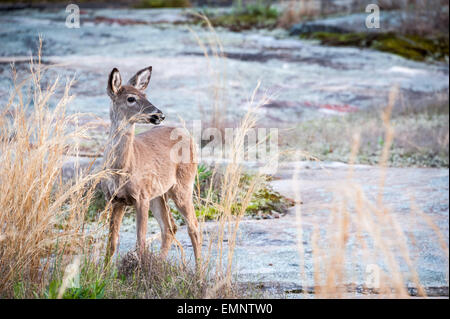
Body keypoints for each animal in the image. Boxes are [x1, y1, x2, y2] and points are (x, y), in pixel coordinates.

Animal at [102, 66, 200, 266]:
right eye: (131, 98)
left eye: (145, 94)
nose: (159, 114)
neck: (122, 169)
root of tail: (188, 135)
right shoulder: (115, 200)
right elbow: (112, 244)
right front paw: (103, 272)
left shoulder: (141, 197)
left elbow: (140, 241)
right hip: (160, 194)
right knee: (169, 227)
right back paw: (161, 263)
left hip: (183, 186)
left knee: (193, 226)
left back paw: (200, 270)